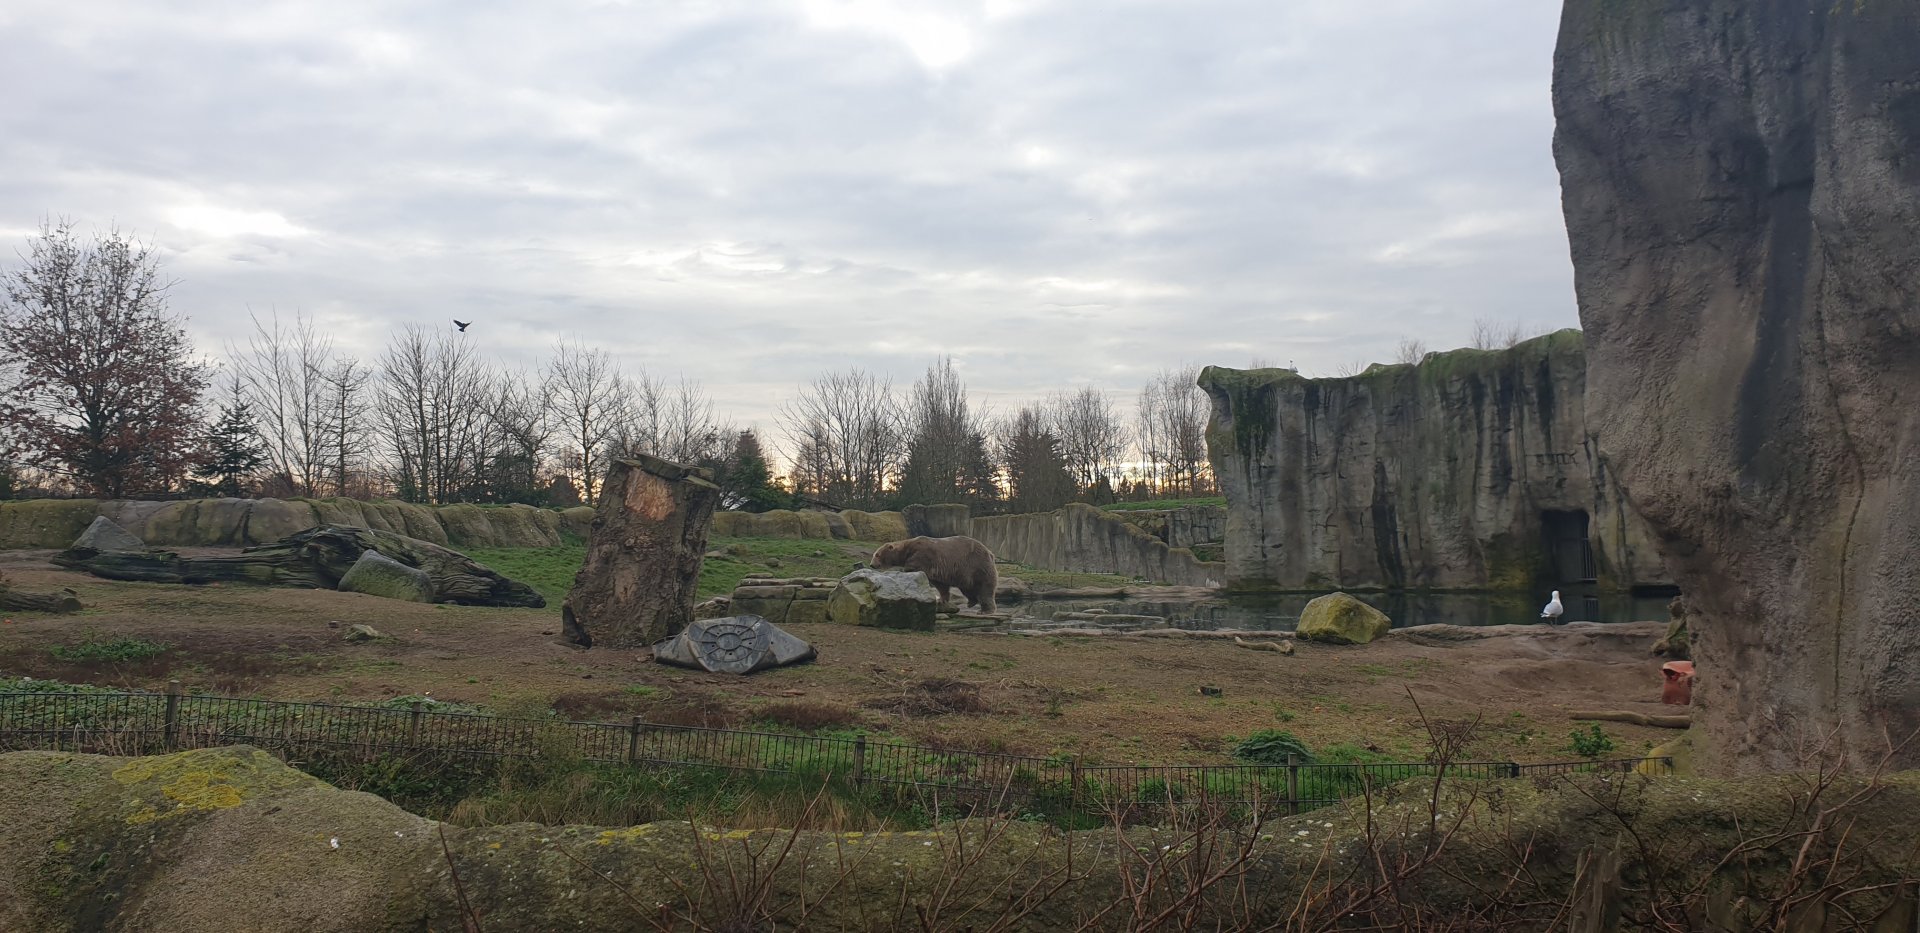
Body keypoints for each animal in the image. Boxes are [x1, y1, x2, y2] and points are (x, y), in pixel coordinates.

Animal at [869, 535, 998, 614]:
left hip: (977, 565)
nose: (872, 565)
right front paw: (941, 600)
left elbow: (912, 568)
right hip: (966, 573)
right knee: (967, 588)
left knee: (984, 588)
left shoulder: (921, 555)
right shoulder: (937, 570)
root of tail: (990, 553)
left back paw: (985, 610)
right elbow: (941, 585)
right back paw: (971, 602)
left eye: (877, 554)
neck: (907, 549)